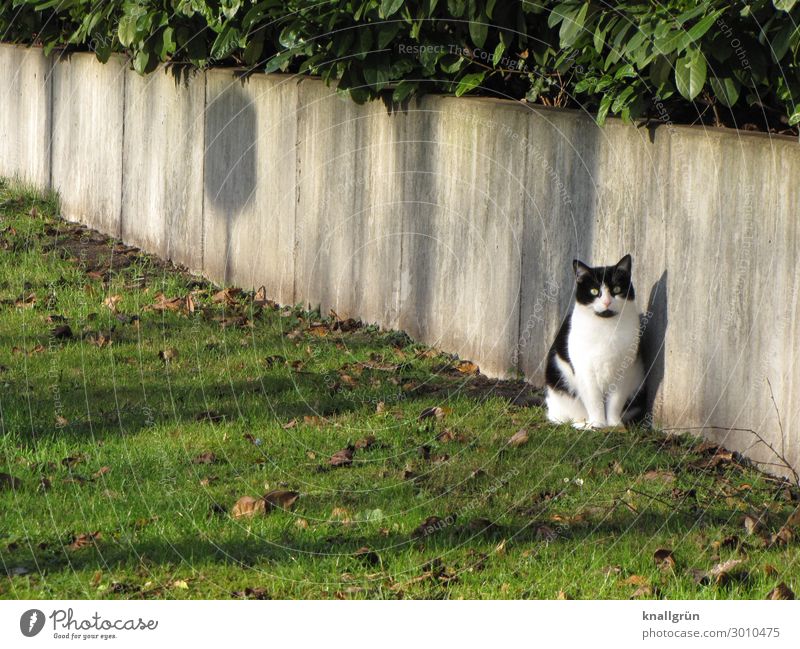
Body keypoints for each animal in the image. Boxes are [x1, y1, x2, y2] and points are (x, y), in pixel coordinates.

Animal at [548, 254, 648, 430]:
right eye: (594, 291)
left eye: (616, 289)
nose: (607, 302)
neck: (606, 327)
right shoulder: (585, 370)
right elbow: (594, 400)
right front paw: (597, 424)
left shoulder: (624, 370)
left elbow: (616, 401)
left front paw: (614, 425)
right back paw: (582, 423)